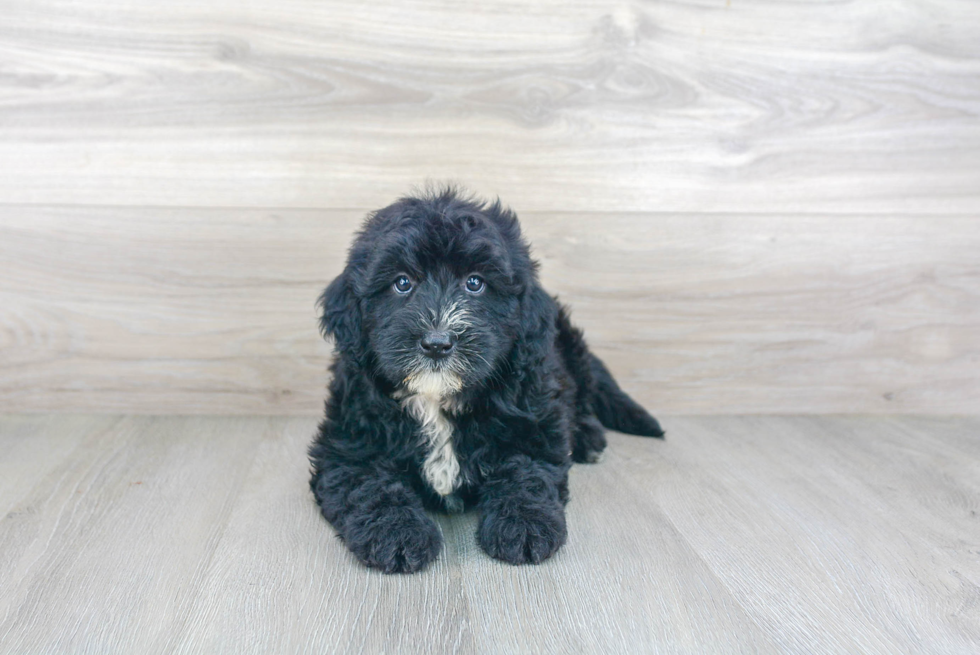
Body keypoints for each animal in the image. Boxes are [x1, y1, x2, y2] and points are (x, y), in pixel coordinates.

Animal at [310, 188, 664, 576]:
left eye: (475, 283)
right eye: (402, 283)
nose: (437, 342)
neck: (438, 399)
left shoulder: (531, 422)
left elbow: (526, 472)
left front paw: (524, 524)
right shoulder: (349, 442)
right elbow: (368, 483)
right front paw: (396, 531)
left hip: (569, 350)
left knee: (580, 396)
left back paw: (586, 436)